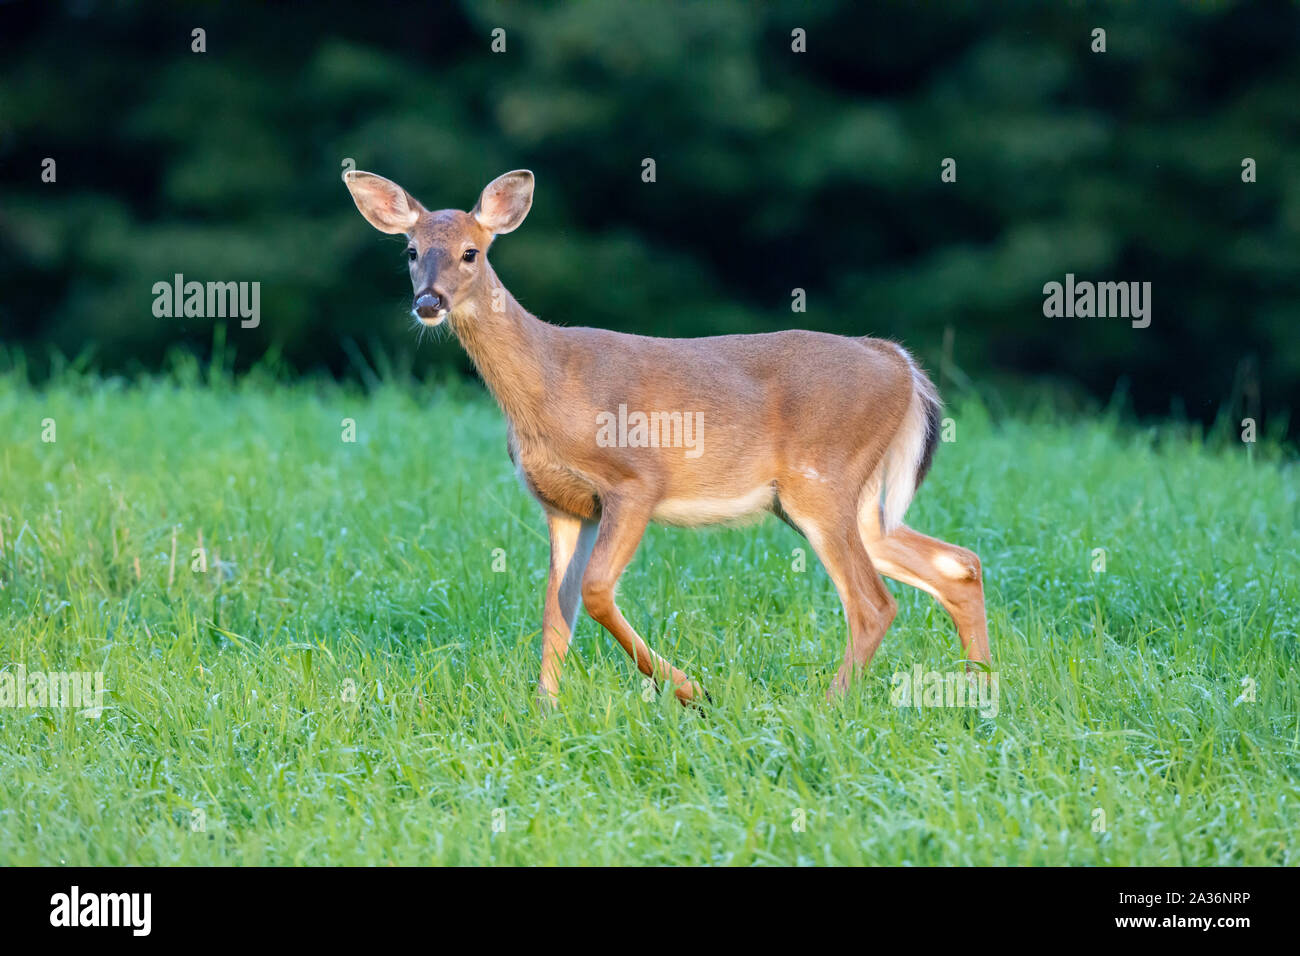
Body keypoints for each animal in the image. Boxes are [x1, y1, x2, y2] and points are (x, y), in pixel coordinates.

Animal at [344, 168, 990, 706]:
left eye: (471, 252)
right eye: (411, 251)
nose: (429, 302)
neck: (549, 384)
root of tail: (900, 363)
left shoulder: (636, 480)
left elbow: (596, 592)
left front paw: (691, 690)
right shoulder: (563, 505)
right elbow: (556, 609)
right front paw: (545, 709)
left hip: (822, 480)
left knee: (875, 603)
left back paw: (828, 706)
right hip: (846, 499)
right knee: (958, 563)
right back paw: (980, 693)